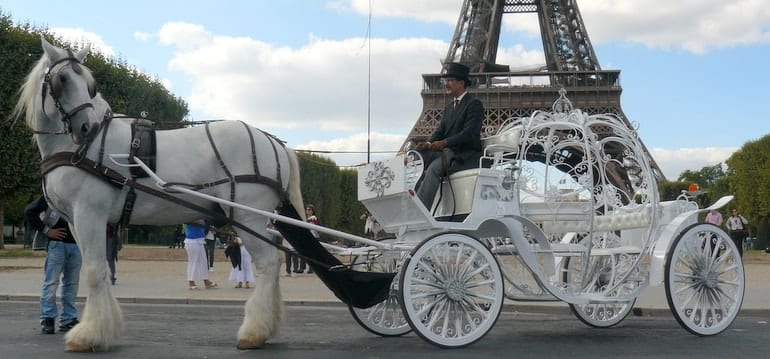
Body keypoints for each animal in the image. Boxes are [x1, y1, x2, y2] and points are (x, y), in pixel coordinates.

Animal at [12, 38, 304, 352]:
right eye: (63, 79)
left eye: (89, 84)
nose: (87, 128)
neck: (82, 149)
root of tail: (274, 142)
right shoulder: (76, 221)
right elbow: (98, 270)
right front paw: (105, 328)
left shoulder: (89, 214)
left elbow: (92, 271)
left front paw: (88, 334)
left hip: (248, 217)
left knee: (269, 264)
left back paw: (255, 331)